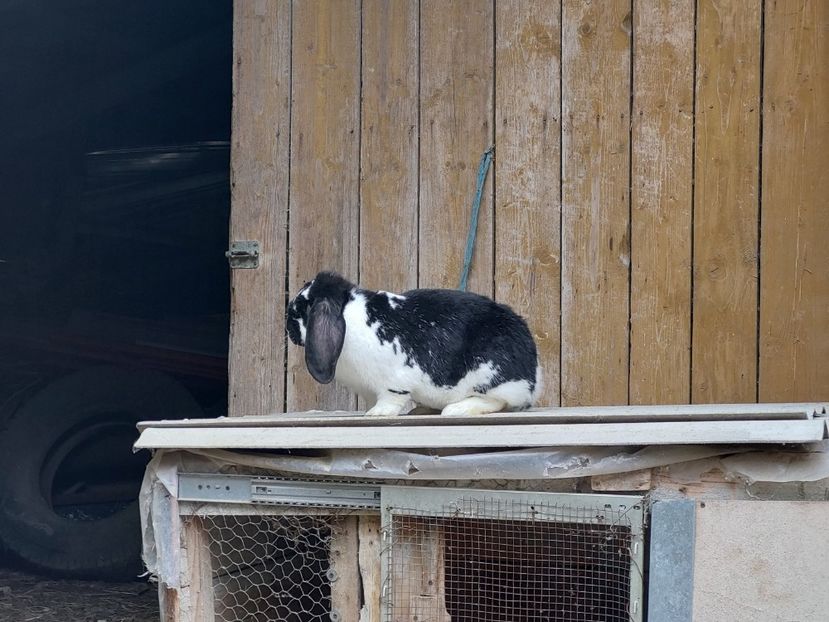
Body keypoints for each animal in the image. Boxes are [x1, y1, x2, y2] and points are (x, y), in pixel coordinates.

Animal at [286, 270, 544, 416]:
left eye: (299, 309)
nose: (288, 329)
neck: (348, 314)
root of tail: (533, 374)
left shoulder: (394, 379)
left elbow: (390, 398)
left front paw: (377, 414)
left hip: (492, 376)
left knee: (497, 401)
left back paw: (456, 410)